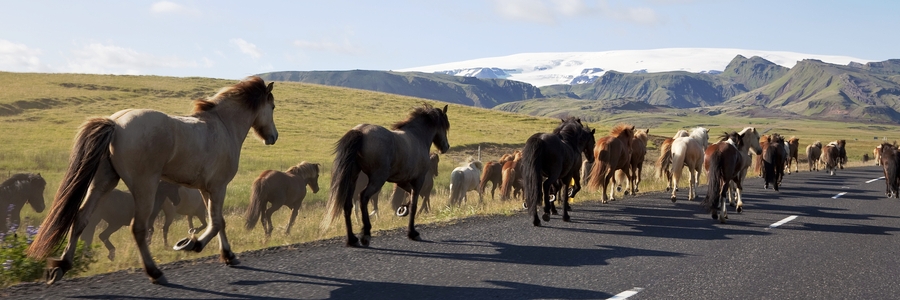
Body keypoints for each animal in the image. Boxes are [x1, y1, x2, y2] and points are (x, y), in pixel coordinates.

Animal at [28, 75, 276, 284]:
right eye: (272, 107)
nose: (273, 137)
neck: (223, 125)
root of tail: (115, 124)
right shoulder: (218, 188)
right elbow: (215, 223)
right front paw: (191, 244)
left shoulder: (207, 190)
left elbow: (218, 222)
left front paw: (228, 255)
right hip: (145, 187)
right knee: (138, 228)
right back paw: (155, 272)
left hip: (104, 183)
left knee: (81, 218)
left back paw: (61, 266)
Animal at [322, 103, 450, 246]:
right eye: (445, 126)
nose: (446, 146)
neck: (417, 137)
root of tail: (360, 132)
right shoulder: (418, 180)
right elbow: (414, 203)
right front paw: (412, 233)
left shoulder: (402, 181)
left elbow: (409, 197)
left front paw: (402, 210)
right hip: (377, 179)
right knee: (363, 197)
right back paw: (365, 234)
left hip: (353, 179)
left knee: (348, 204)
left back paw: (352, 239)